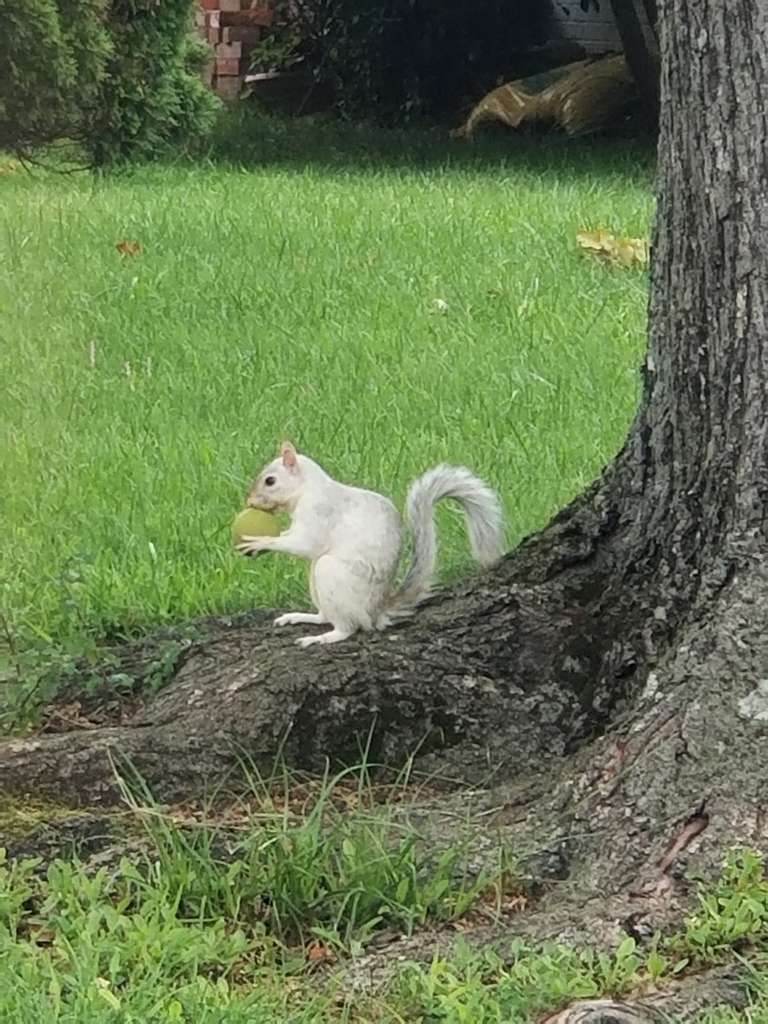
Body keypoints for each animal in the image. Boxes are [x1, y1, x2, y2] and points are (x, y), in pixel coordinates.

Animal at [239, 440, 505, 647]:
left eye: (270, 481)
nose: (250, 502)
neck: (307, 488)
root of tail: (377, 612)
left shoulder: (320, 512)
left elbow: (305, 543)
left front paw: (259, 541)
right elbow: (291, 536)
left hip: (329, 573)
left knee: (348, 628)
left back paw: (323, 638)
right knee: (325, 617)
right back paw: (301, 617)